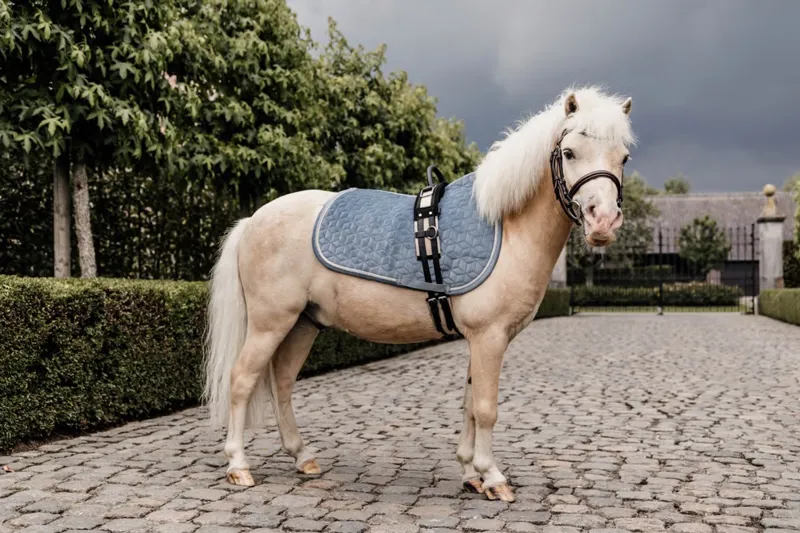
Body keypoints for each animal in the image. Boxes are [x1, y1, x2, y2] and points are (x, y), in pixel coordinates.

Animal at [203, 85, 636, 502]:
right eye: (569, 152)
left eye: (624, 158)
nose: (603, 222)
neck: (506, 227)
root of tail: (253, 219)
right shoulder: (489, 337)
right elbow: (486, 408)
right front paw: (493, 477)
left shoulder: (480, 339)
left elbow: (469, 404)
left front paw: (470, 473)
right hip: (270, 323)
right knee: (242, 379)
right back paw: (238, 466)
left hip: (303, 324)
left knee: (282, 384)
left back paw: (302, 457)